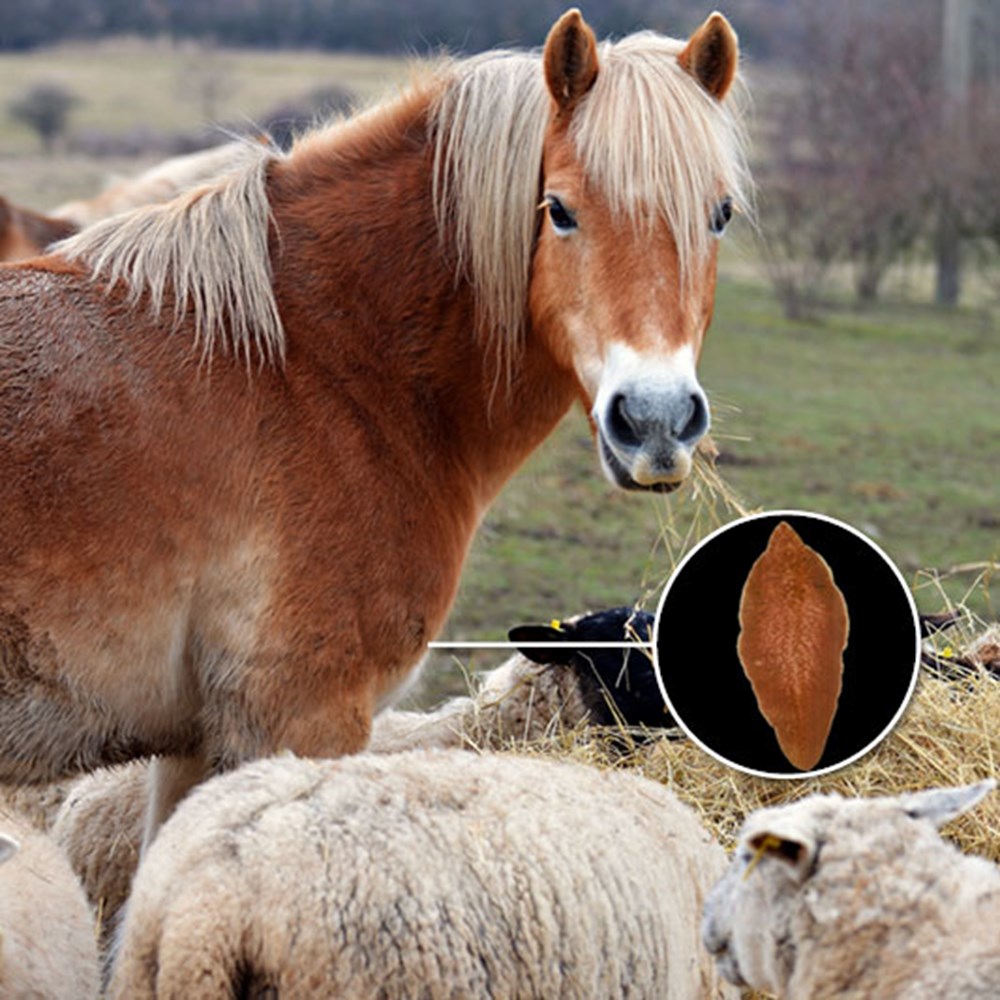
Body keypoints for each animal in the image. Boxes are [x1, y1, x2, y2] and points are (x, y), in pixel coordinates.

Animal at [0, 7, 752, 844]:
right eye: (559, 210)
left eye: (719, 215)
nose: (655, 421)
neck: (314, 361)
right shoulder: (300, 719)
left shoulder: (192, 745)